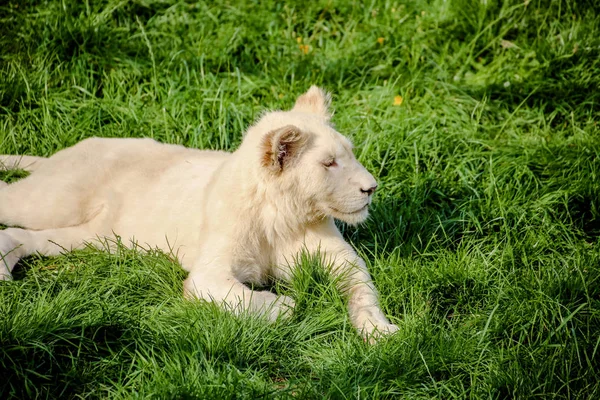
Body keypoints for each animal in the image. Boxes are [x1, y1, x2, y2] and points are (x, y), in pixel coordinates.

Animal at [0, 86, 398, 340]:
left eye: (350, 153)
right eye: (329, 163)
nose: (372, 187)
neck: (284, 216)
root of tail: (63, 153)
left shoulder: (341, 260)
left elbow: (364, 292)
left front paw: (381, 332)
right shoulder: (210, 271)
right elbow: (246, 298)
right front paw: (288, 304)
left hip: (94, 239)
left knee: (20, 235)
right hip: (55, 200)